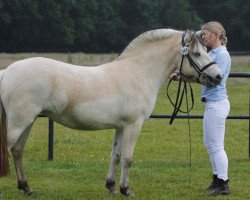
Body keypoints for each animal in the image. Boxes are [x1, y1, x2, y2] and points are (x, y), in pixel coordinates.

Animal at [0, 28, 223, 197]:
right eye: (197, 54)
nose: (218, 76)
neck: (140, 71)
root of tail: (7, 71)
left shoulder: (121, 127)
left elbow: (115, 155)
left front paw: (111, 186)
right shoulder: (134, 125)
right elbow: (127, 158)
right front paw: (126, 190)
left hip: (28, 121)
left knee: (17, 150)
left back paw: (26, 187)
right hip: (19, 122)